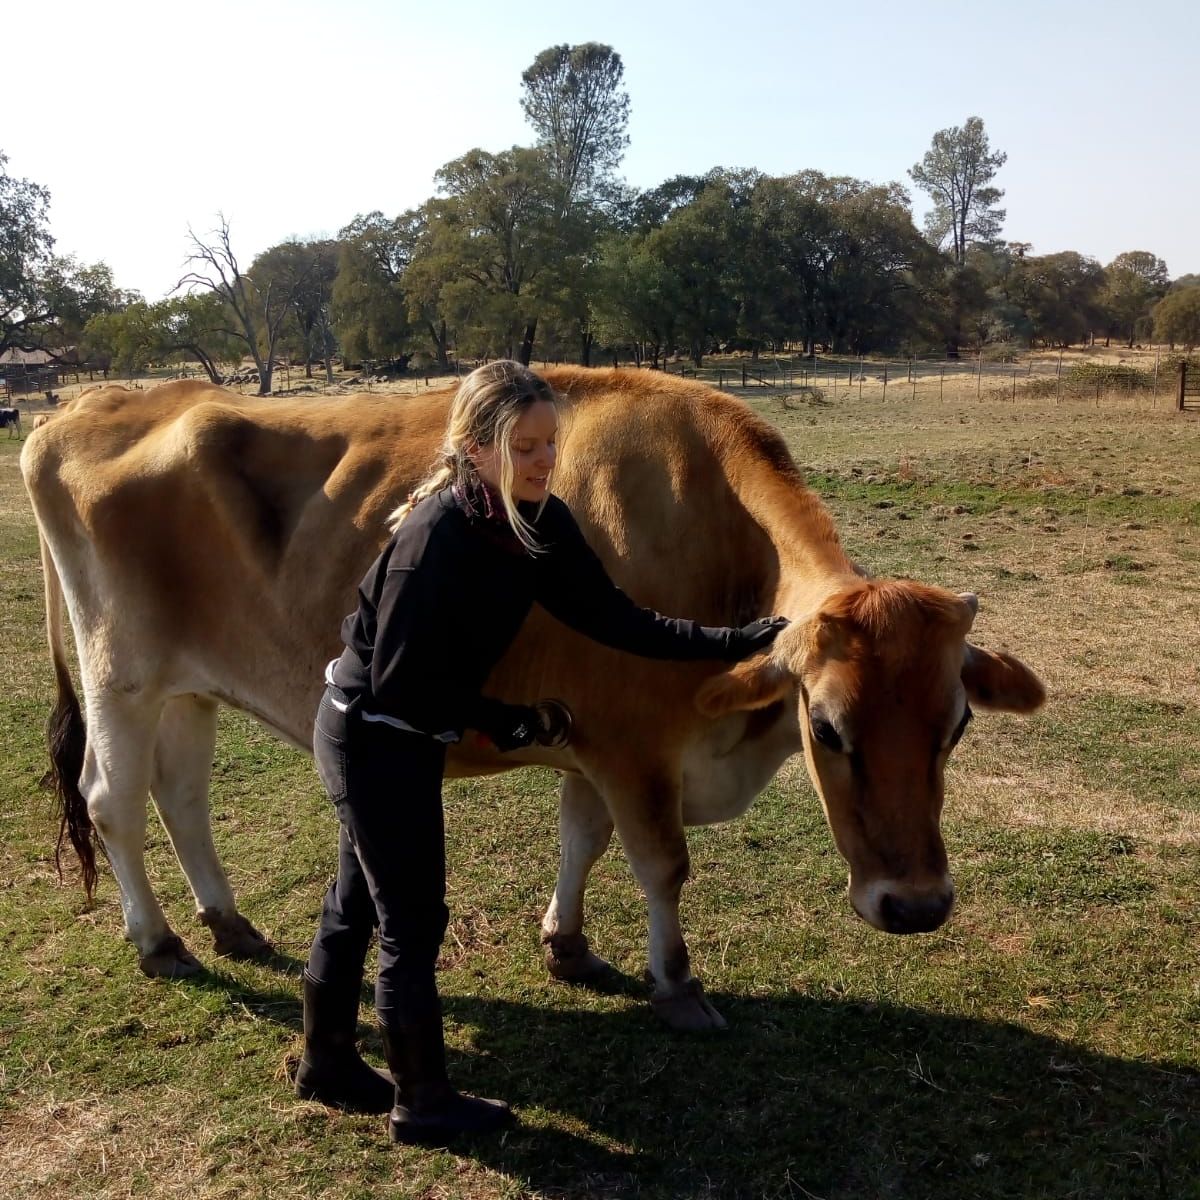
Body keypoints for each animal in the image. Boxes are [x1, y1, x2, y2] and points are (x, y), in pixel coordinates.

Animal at [22, 372, 1045, 1030]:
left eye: (955, 727)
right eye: (828, 728)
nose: (916, 906)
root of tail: (87, 405)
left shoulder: (599, 743)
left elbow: (580, 839)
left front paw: (569, 945)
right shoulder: (637, 747)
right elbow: (662, 866)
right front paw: (677, 986)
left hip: (189, 689)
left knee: (183, 798)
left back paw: (228, 922)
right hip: (122, 676)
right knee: (113, 803)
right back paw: (159, 942)